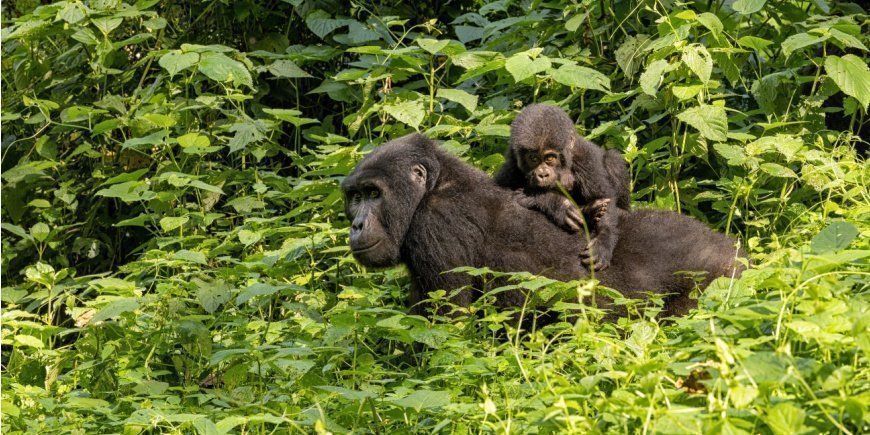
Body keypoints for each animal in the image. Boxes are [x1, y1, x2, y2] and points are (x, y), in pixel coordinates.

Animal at [344, 134, 744, 316]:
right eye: (354, 197)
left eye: (374, 194)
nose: (357, 225)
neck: (434, 186)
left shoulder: (435, 225)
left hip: (717, 276)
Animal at [498, 104, 632, 270]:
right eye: (533, 158)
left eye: (550, 158)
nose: (542, 174)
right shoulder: (510, 166)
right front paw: (558, 205)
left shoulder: (584, 157)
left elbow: (603, 197)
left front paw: (603, 242)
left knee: (612, 161)